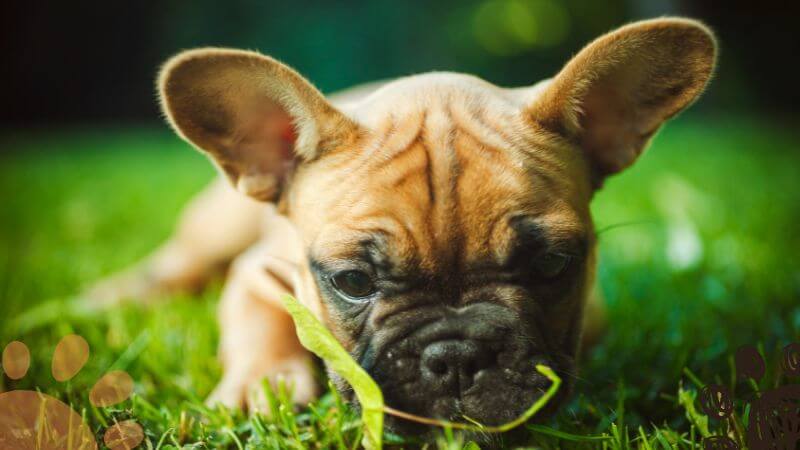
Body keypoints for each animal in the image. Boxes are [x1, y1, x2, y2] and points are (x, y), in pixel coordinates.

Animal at [89, 17, 720, 430]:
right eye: (352, 281)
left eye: (551, 266)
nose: (457, 356)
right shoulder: (257, 272)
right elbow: (257, 324)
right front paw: (259, 387)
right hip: (216, 227)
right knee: (177, 265)